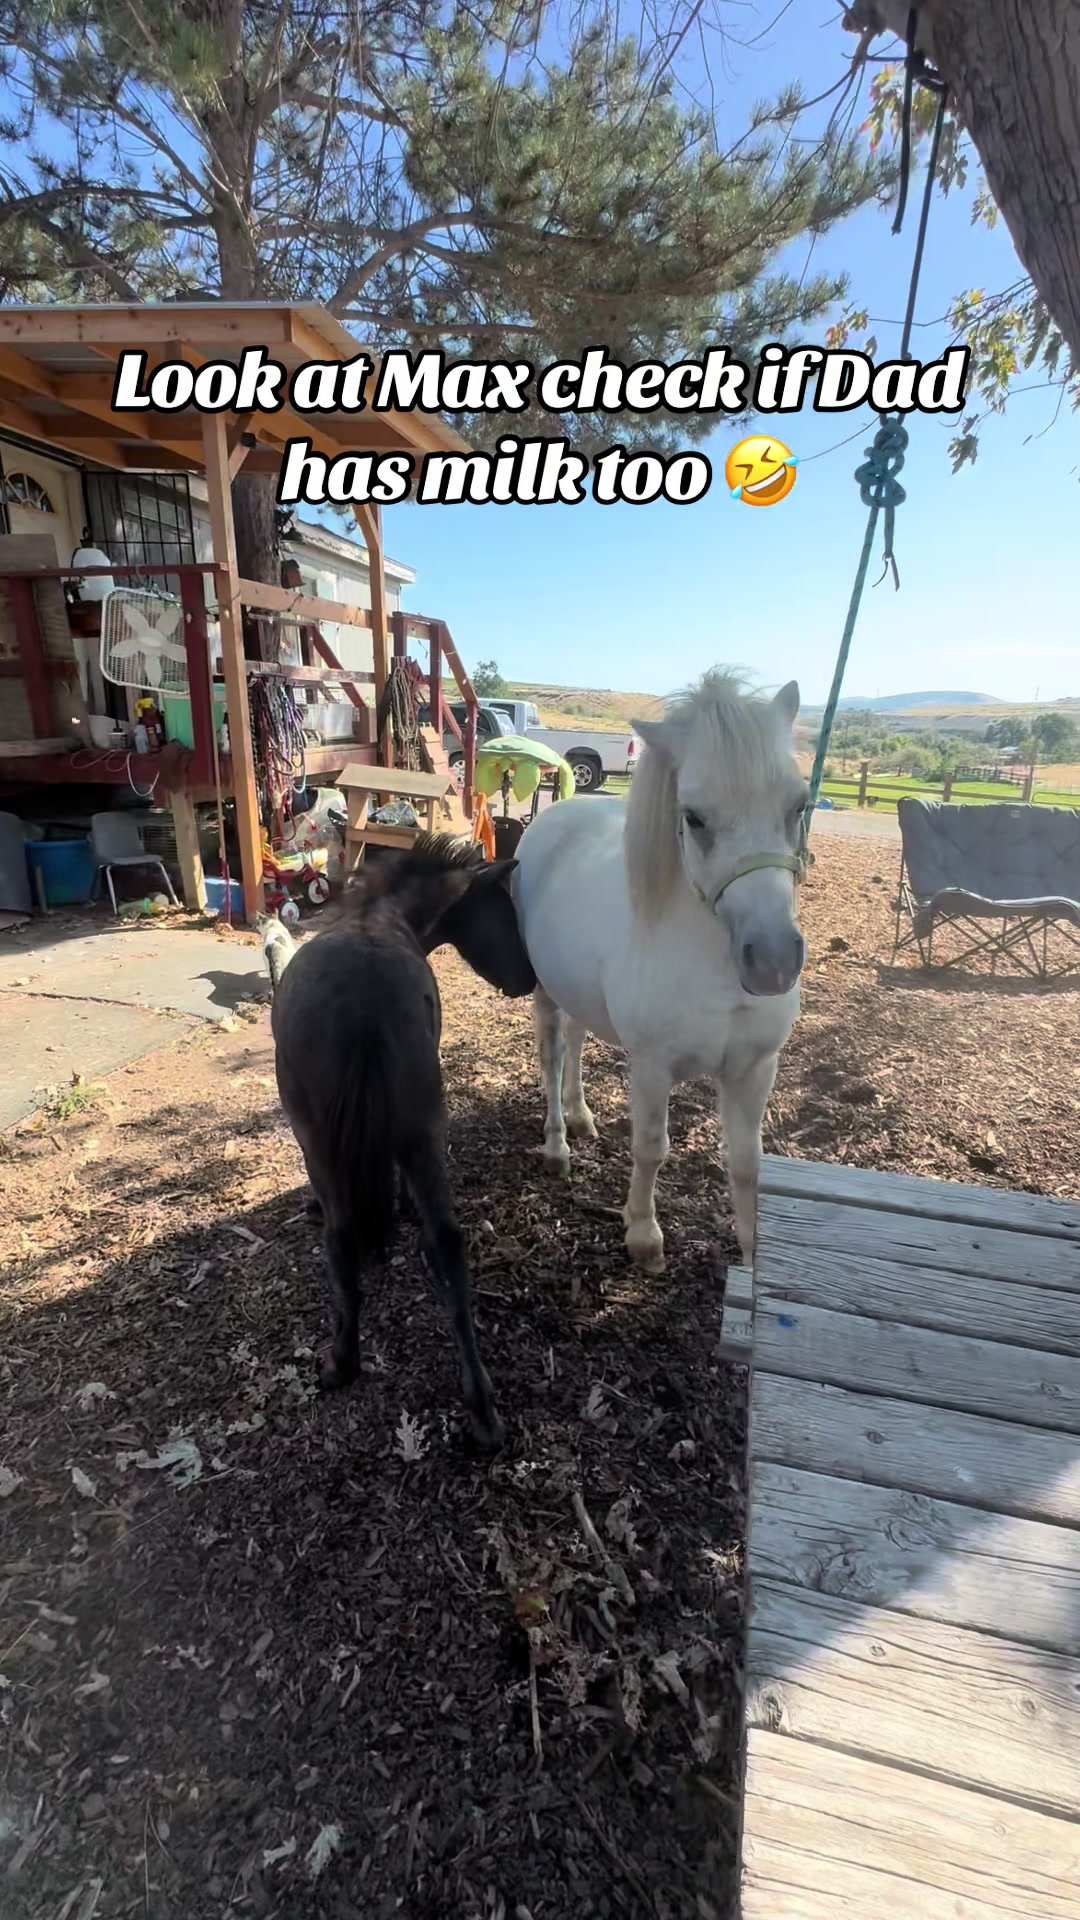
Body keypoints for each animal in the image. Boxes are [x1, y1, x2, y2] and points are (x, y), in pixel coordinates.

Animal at [263, 834, 536, 1452]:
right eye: (505, 913)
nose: (529, 979)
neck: (377, 916)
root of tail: (363, 1002)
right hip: (422, 1129)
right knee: (448, 1242)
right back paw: (482, 1408)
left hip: (322, 1137)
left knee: (341, 1240)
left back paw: (342, 1362)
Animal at [511, 670, 808, 1273]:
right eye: (692, 817)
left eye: (799, 806)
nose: (773, 961)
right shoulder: (651, 1068)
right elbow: (651, 1148)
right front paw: (644, 1235)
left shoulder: (754, 1070)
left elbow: (747, 1163)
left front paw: (752, 1255)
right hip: (546, 993)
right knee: (552, 1055)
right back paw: (558, 1143)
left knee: (577, 1040)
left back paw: (581, 1115)